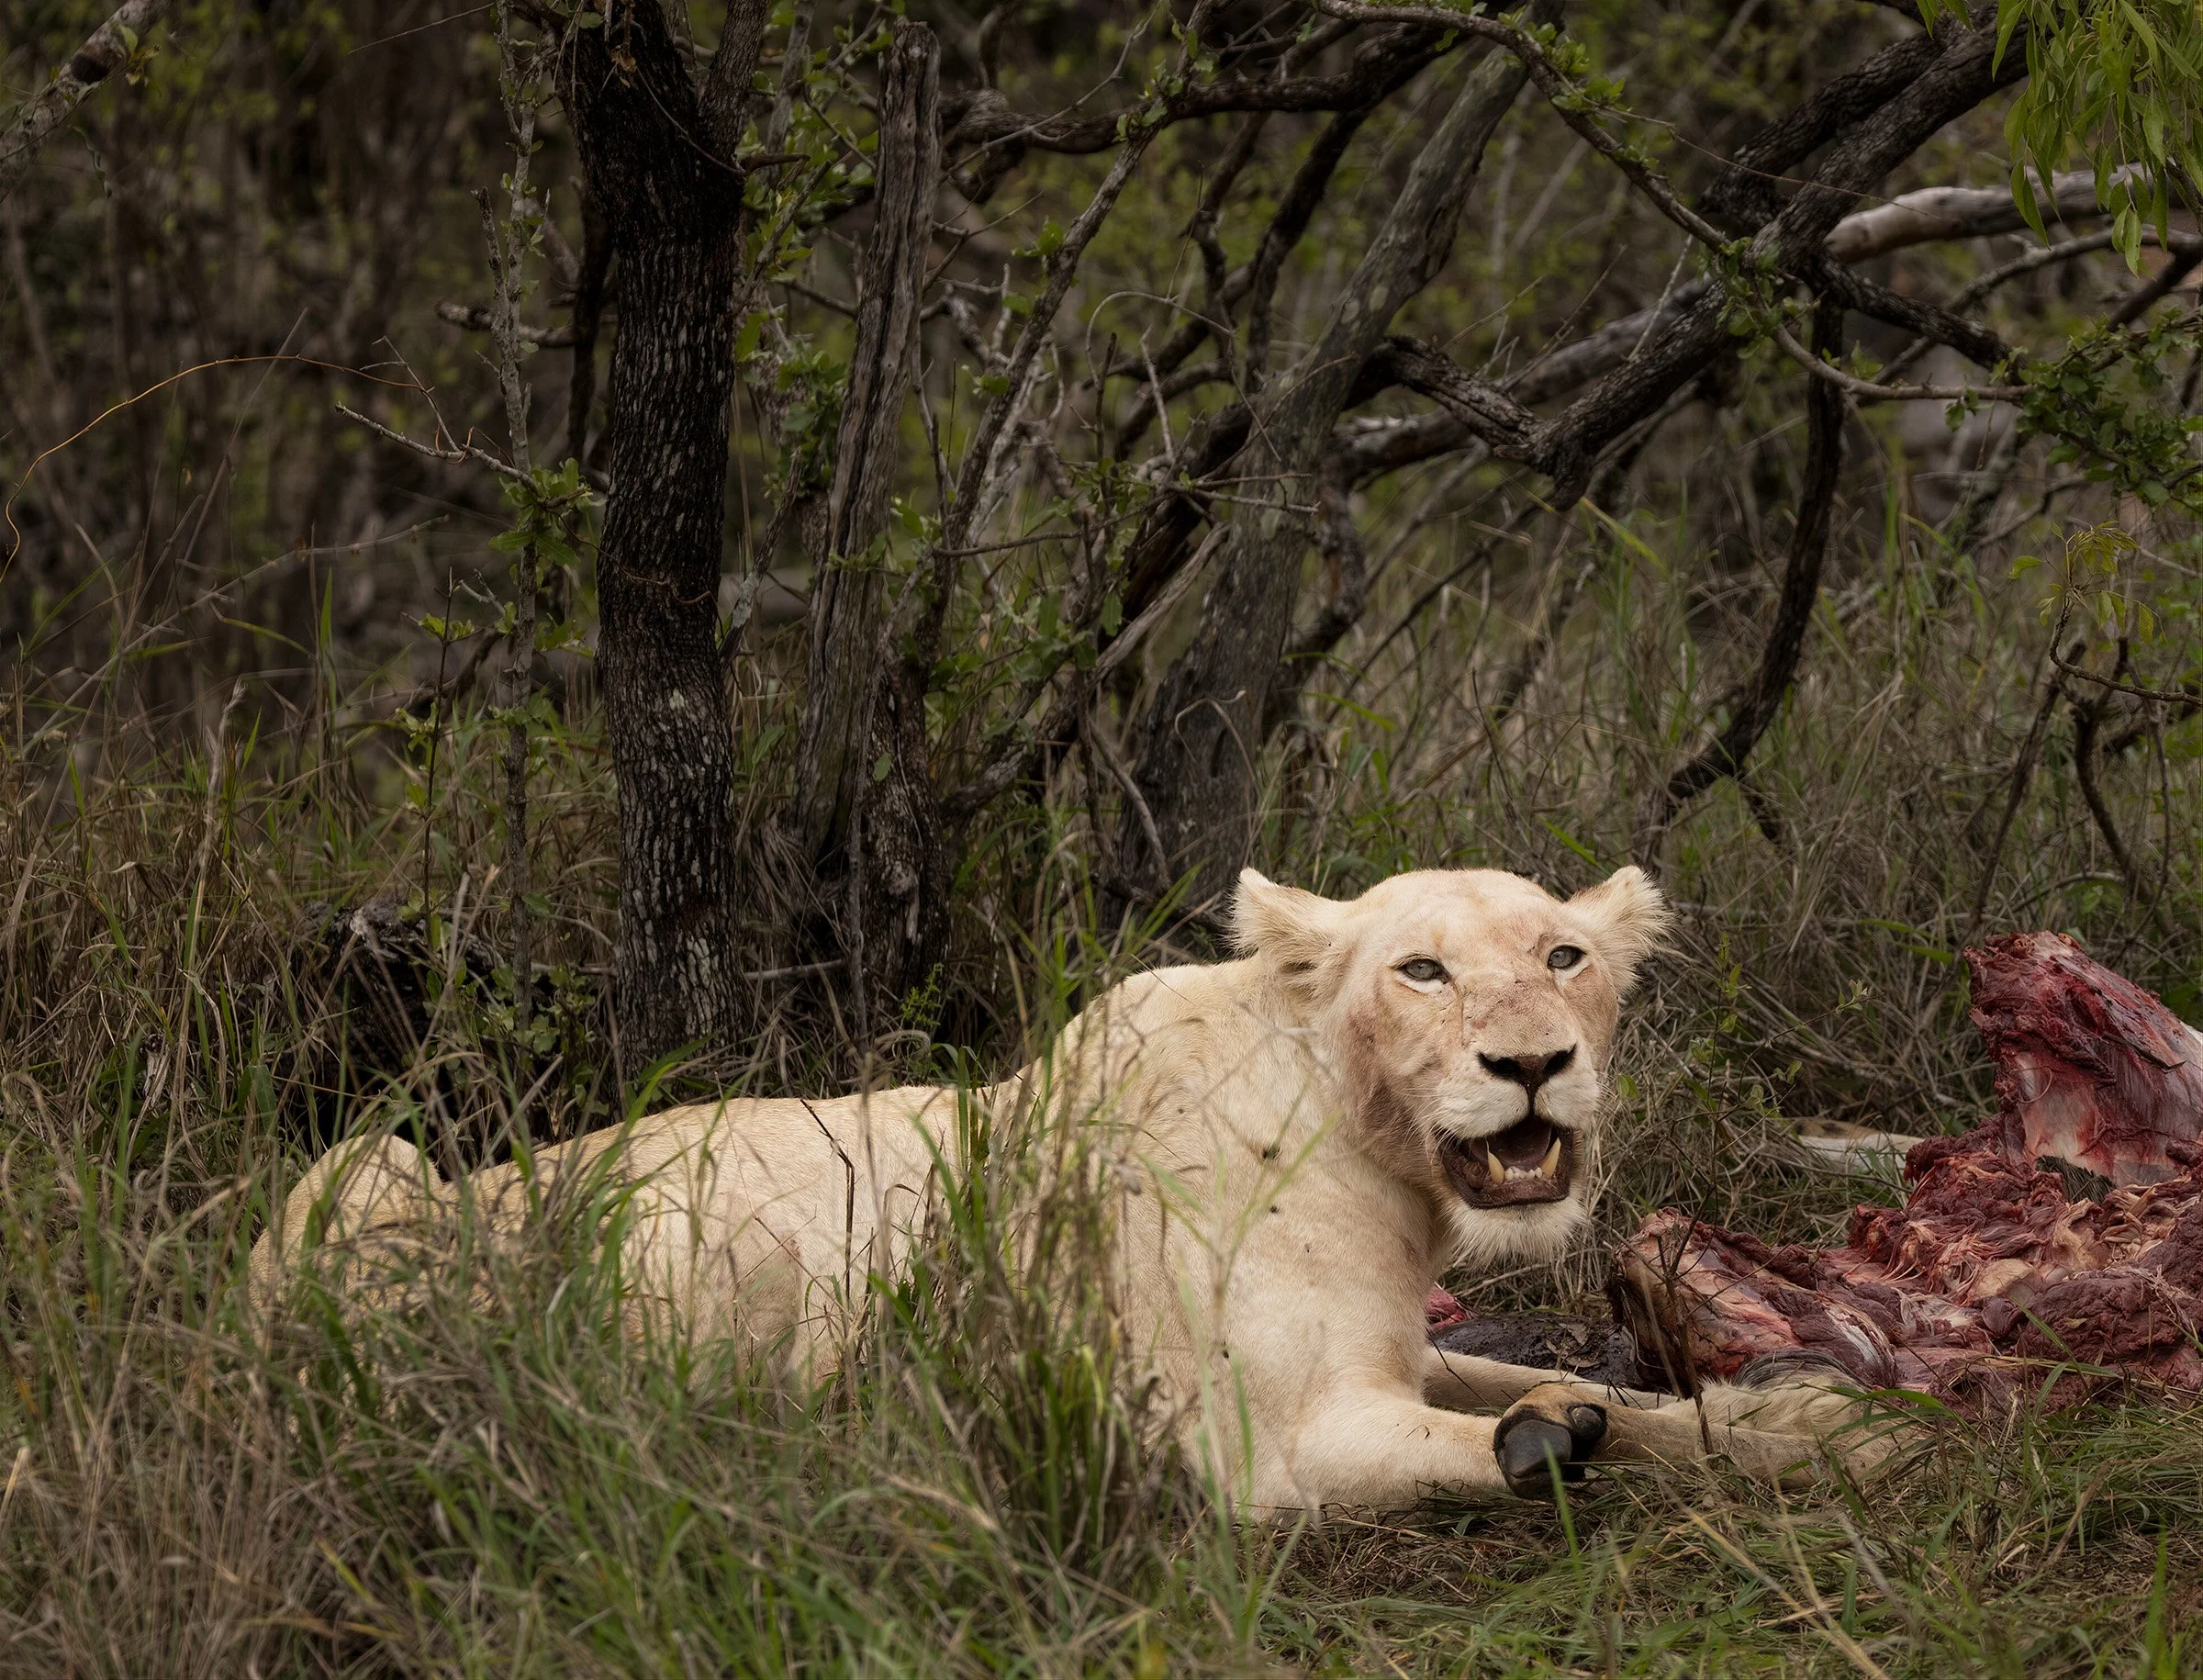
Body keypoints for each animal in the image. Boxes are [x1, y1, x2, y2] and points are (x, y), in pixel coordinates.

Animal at [251, 863, 1874, 1511]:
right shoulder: (1271, 1444)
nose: (1534, 1061)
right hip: (374, 1175)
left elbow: (1630, 1403)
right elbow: (1502, 1429)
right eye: (1420, 967)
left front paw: (1830, 1428)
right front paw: (1552, 1439)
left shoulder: (1406, 1345)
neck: (1374, 1149)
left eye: (1563, 955)